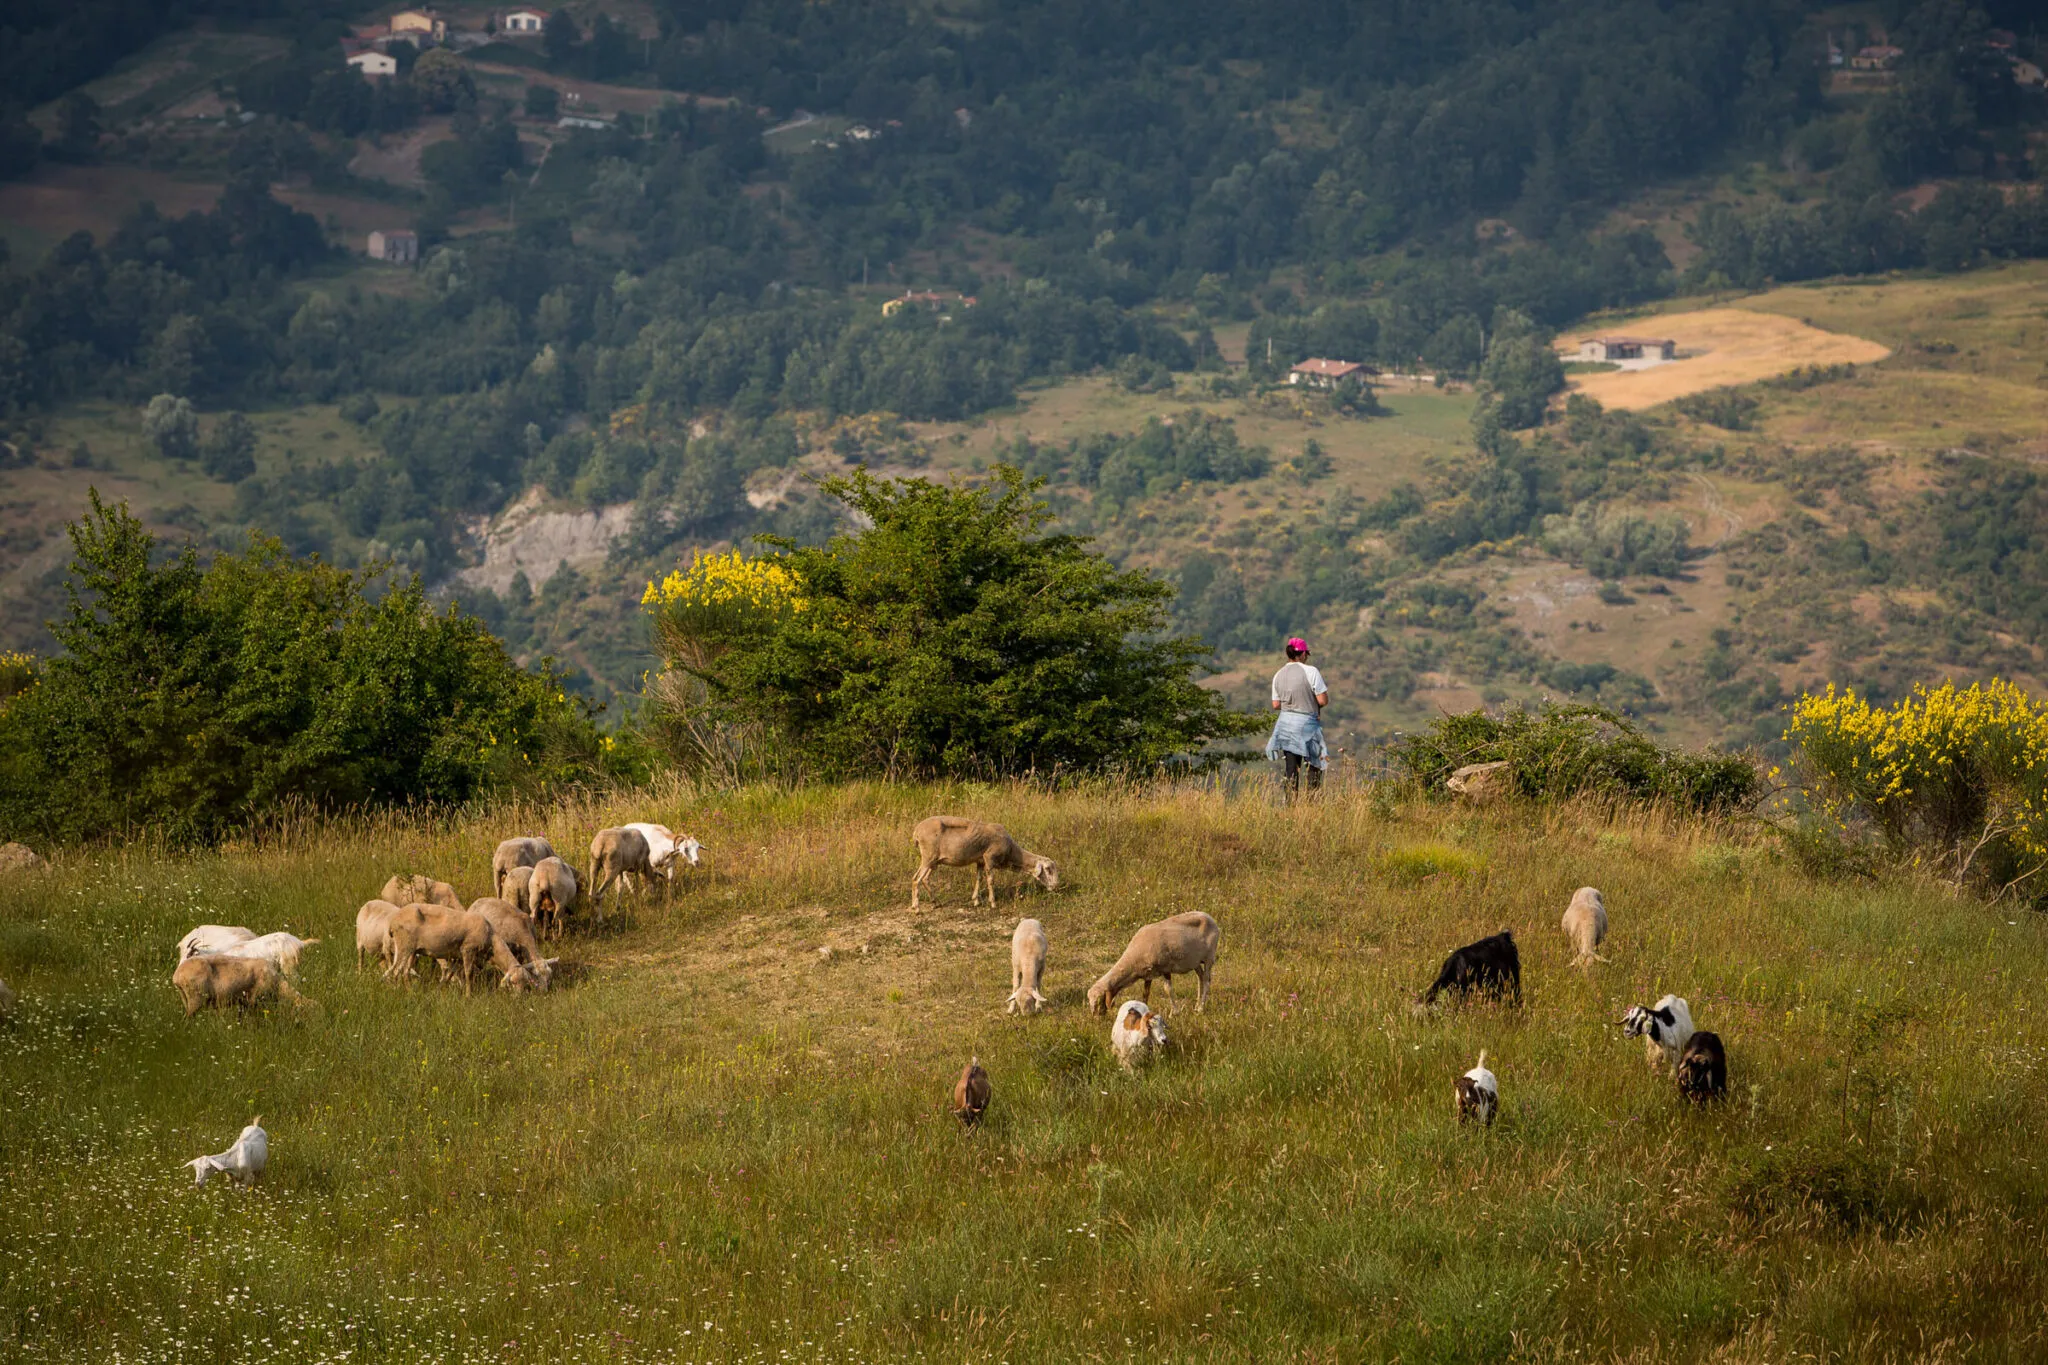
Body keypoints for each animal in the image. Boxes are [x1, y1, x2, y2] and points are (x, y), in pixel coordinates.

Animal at [917, 818, 1064, 912]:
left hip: (932, 861)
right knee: (916, 879)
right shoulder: (989, 857)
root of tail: (916, 832)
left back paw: (934, 903)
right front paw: (992, 903)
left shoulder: (980, 861)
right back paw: (916, 907)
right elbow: (990, 880)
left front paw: (976, 900)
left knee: (924, 879)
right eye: (1048, 869)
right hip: (928, 857)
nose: (1056, 886)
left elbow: (979, 879)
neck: (1012, 852)